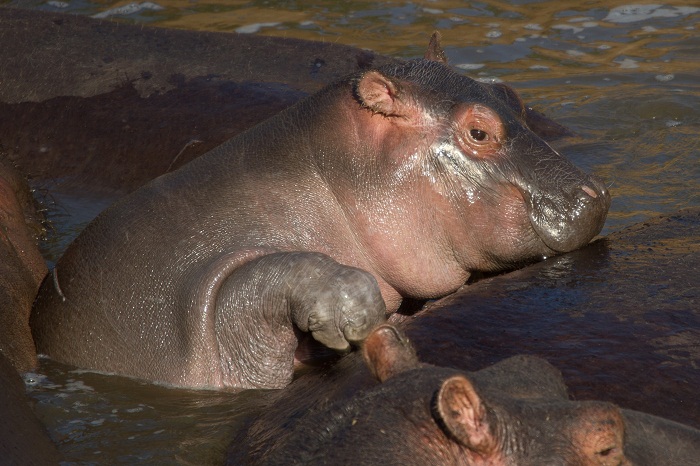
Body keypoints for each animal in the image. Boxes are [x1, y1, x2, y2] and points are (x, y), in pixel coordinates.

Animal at [28, 36, 608, 390]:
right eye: (479, 131)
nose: (594, 194)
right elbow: (243, 286)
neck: (324, 176)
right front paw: (355, 307)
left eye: (510, 93)